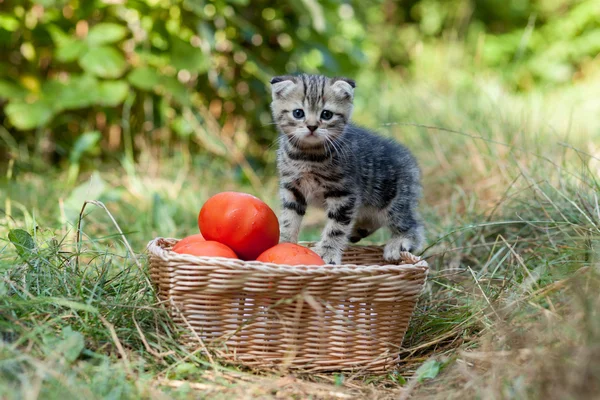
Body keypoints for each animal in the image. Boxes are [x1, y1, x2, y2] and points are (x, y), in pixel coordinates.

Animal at [270, 74, 424, 266]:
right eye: (298, 113)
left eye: (326, 114)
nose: (312, 126)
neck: (308, 156)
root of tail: (411, 162)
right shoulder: (292, 189)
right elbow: (289, 219)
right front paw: (284, 242)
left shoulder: (344, 194)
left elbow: (336, 227)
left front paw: (327, 252)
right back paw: (358, 231)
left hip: (392, 201)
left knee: (414, 225)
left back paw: (399, 243)